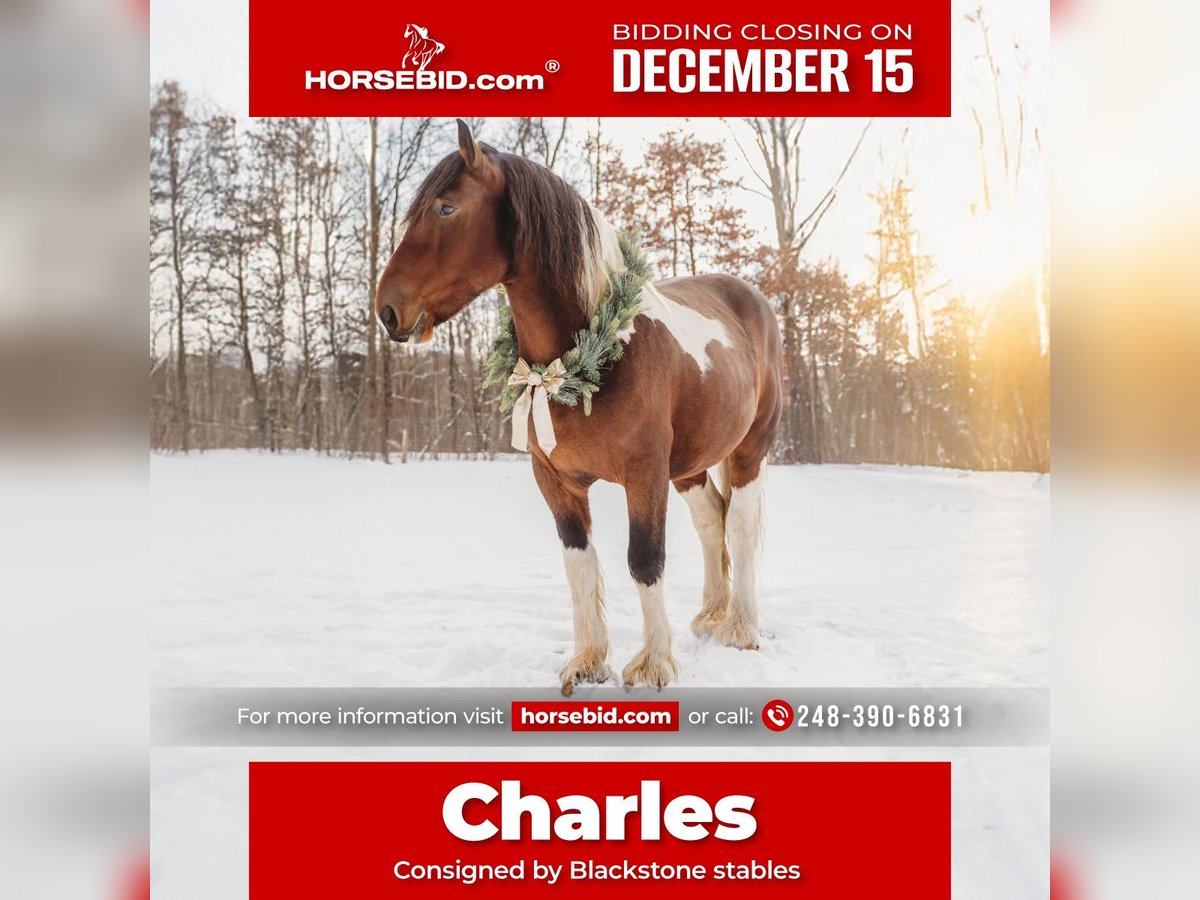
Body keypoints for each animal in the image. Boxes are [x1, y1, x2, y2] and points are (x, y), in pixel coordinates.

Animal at [374, 120, 782, 694]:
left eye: (446, 208)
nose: (387, 309)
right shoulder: (557, 482)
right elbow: (579, 562)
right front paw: (588, 661)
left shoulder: (644, 475)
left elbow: (645, 560)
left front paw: (653, 664)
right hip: (690, 465)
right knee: (711, 520)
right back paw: (711, 614)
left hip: (749, 449)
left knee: (741, 523)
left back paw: (740, 627)